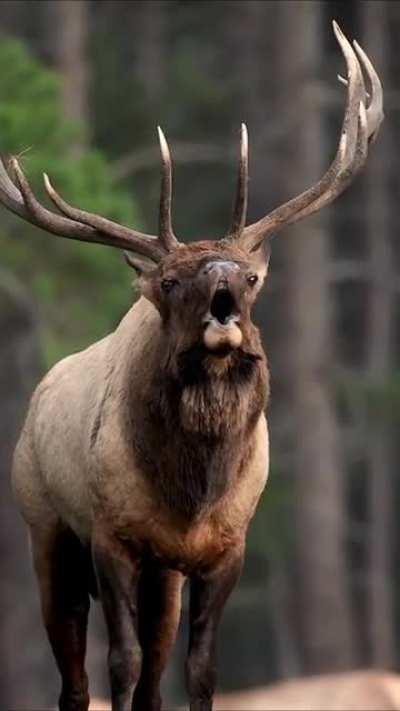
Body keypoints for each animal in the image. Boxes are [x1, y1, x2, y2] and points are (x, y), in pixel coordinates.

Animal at [7, 22, 382, 711]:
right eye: (171, 280)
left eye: (252, 276)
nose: (223, 297)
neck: (192, 493)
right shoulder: (111, 536)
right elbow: (121, 663)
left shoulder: (225, 548)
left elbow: (200, 669)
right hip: (43, 528)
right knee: (74, 677)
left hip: (164, 578)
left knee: (154, 674)